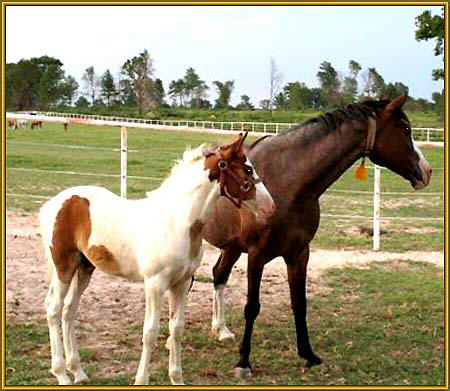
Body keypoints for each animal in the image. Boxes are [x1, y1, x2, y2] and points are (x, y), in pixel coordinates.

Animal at [39, 134, 274, 386]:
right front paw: (141, 380)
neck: (177, 220)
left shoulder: (181, 283)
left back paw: (78, 372)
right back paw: (62, 374)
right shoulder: (155, 283)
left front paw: (177, 378)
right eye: (248, 169)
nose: (271, 206)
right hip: (63, 266)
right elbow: (150, 332)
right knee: (54, 308)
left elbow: (176, 329)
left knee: (69, 310)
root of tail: (54, 203)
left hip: (84, 267)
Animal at [201, 94, 432, 376]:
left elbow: (299, 303)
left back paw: (221, 330)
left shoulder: (299, 254)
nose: (427, 171)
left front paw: (307, 353)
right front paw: (243, 361)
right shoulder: (256, 255)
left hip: (231, 247)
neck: (287, 182)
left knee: (218, 274)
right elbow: (252, 307)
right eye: (406, 129)